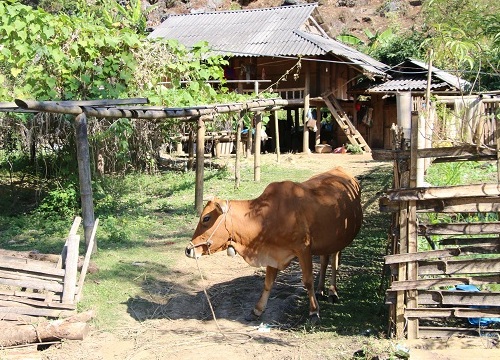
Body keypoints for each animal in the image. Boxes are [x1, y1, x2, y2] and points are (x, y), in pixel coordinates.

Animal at [186, 167, 362, 322]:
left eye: (206, 218)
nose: (188, 249)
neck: (265, 217)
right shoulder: (272, 253)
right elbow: (268, 282)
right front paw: (257, 310)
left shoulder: (303, 249)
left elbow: (307, 280)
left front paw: (314, 311)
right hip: (327, 242)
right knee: (325, 261)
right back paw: (320, 291)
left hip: (339, 239)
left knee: (334, 261)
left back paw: (332, 292)